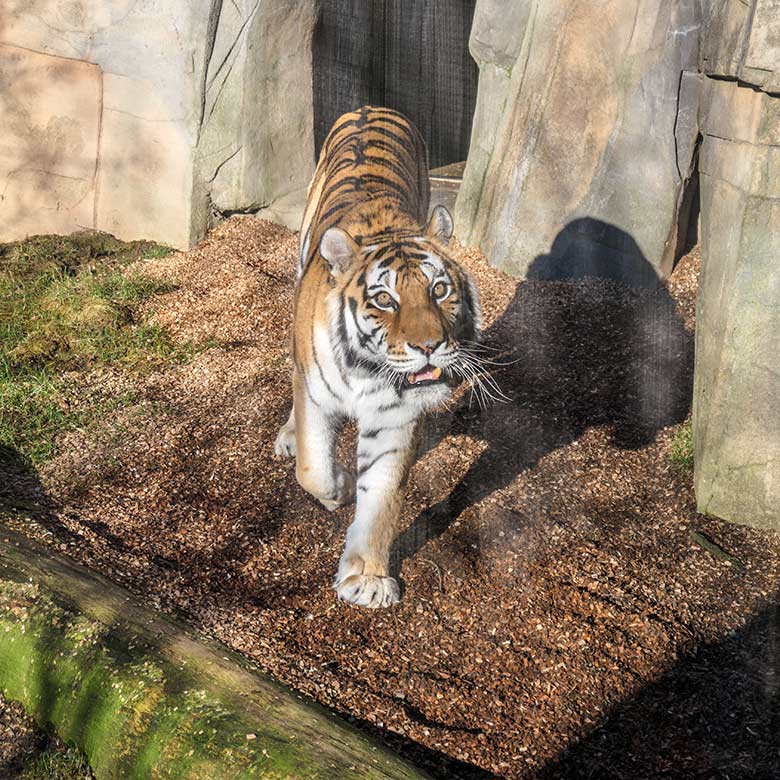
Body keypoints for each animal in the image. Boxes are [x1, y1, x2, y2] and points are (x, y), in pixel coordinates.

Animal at [274, 105, 482, 608]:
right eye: (385, 299)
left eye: (439, 290)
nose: (429, 346)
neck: (367, 370)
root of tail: (371, 105)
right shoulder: (316, 397)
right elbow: (314, 471)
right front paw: (341, 487)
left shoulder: (394, 418)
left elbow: (382, 497)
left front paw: (366, 577)